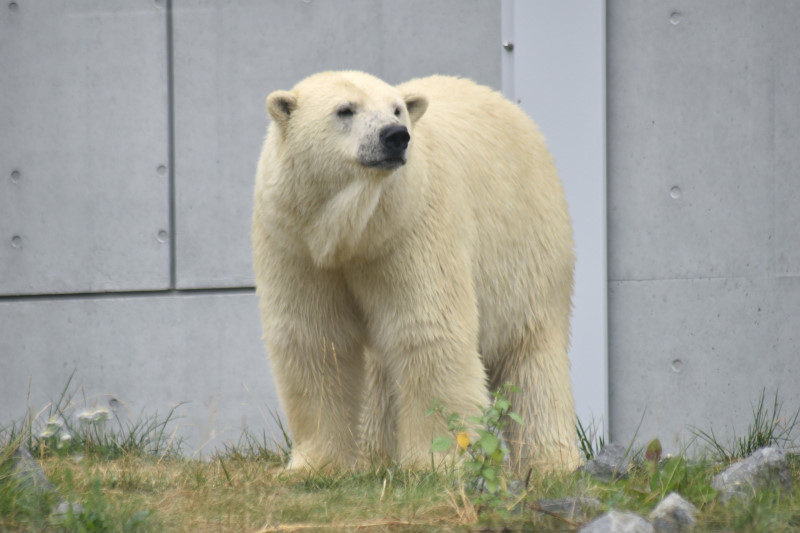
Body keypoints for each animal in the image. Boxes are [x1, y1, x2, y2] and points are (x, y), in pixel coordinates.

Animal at [253, 70, 580, 474]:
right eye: (345, 109)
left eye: (396, 109)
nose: (395, 135)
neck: (352, 235)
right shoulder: (295, 243)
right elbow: (315, 339)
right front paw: (316, 464)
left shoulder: (411, 227)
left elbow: (426, 330)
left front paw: (434, 462)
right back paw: (375, 454)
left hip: (525, 240)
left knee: (531, 352)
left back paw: (552, 463)